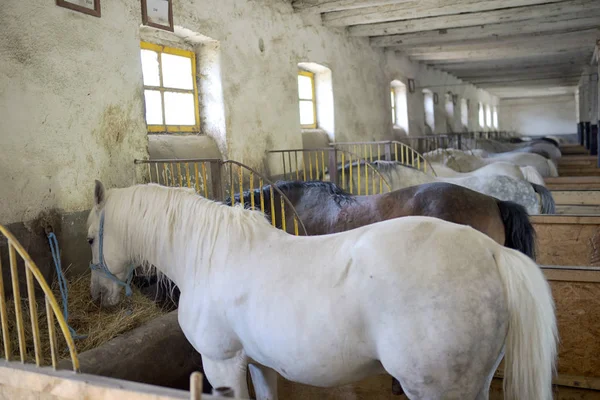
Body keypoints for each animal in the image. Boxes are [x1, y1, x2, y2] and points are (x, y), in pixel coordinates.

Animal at [88, 181, 556, 400]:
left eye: (91, 237)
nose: (98, 297)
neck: (212, 255)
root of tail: (493, 254)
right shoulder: (259, 362)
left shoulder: (221, 364)